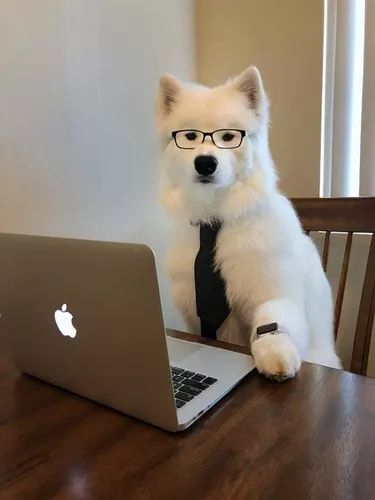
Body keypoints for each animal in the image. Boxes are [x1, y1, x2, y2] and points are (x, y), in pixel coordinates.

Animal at [155, 66, 340, 378]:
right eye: (190, 136)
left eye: (228, 136)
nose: (205, 163)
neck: (216, 219)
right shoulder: (193, 311)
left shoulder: (274, 290)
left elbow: (272, 317)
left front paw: (275, 353)